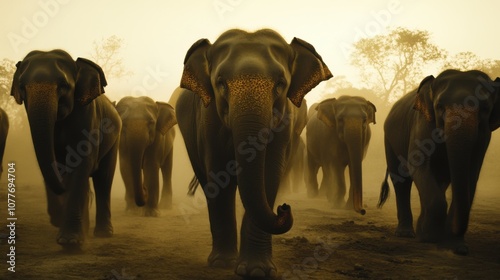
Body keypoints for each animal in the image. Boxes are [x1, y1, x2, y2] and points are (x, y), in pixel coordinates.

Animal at [10, 48, 122, 249]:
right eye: (22, 86)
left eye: (63, 85)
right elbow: (52, 162)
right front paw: (59, 222)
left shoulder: (88, 117)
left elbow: (82, 163)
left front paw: (69, 241)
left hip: (114, 139)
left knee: (103, 178)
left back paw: (103, 234)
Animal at [176, 28, 332, 278]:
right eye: (220, 83)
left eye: (280, 84)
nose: (284, 207)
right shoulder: (207, 120)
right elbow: (218, 176)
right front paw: (222, 264)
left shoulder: (285, 123)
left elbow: (269, 174)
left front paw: (257, 271)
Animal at [378, 69, 500, 255]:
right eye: (439, 107)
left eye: (485, 108)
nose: (458, 245)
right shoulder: (422, 124)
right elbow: (418, 166)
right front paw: (429, 238)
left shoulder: (484, 136)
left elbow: (471, 175)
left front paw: (456, 246)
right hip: (389, 139)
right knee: (402, 180)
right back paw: (407, 233)